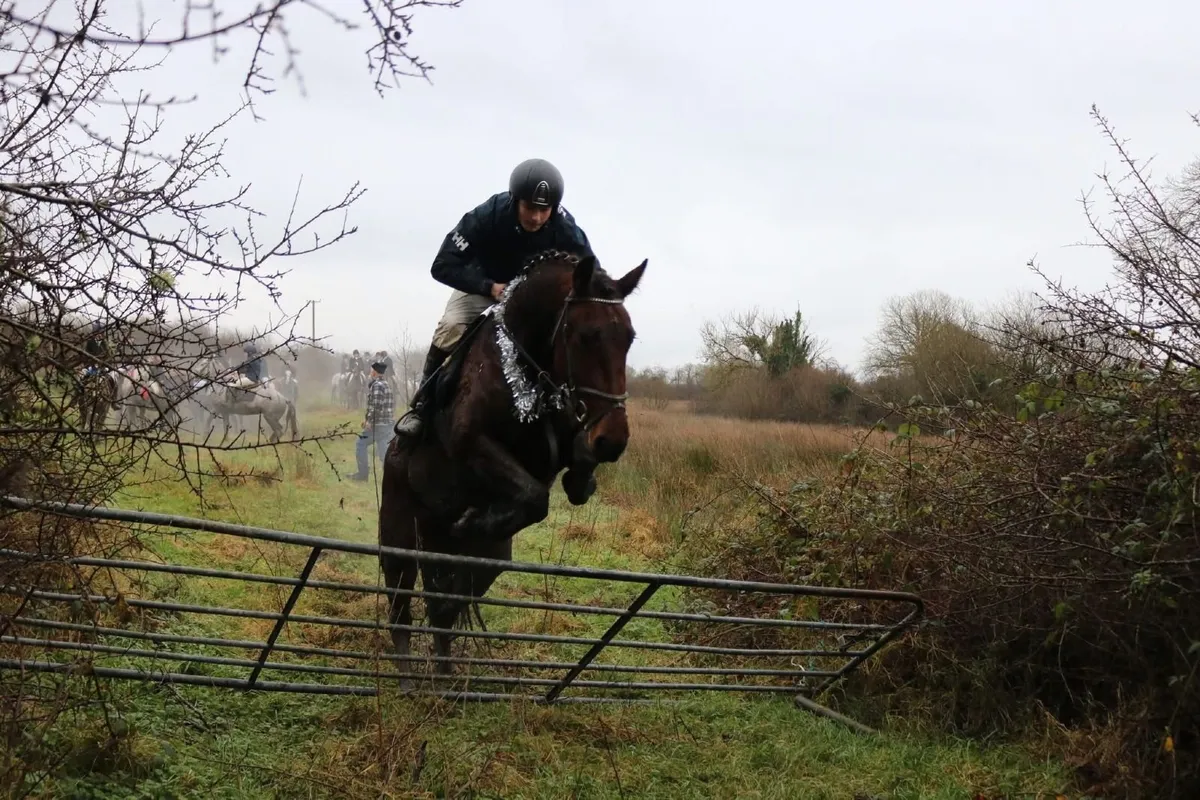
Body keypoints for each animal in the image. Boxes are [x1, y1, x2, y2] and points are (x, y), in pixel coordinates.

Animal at [378, 250, 646, 689]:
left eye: (629, 338)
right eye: (585, 335)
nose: (613, 440)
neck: (521, 366)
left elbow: (564, 472)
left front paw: (580, 479)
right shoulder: (473, 443)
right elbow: (535, 498)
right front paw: (475, 519)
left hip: (475, 557)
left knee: (444, 609)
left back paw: (446, 678)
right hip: (400, 538)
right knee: (401, 609)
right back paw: (405, 680)